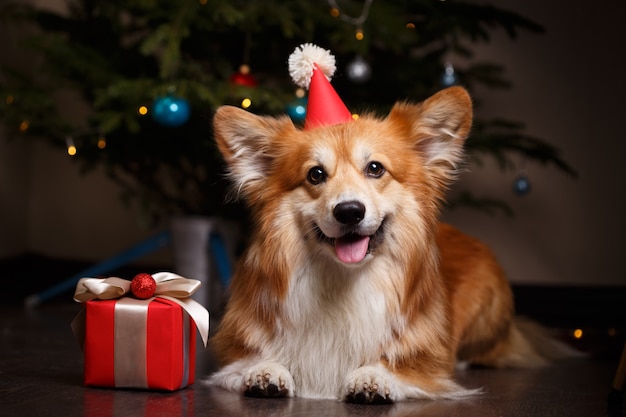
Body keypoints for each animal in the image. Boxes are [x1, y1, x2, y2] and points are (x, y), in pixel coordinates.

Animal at [206, 86, 576, 402]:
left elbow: (405, 365)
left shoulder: (425, 357)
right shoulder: (237, 344)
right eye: (315, 174)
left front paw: (373, 376)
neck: (343, 282)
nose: (349, 212)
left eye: (375, 168)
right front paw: (265, 369)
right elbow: (245, 362)